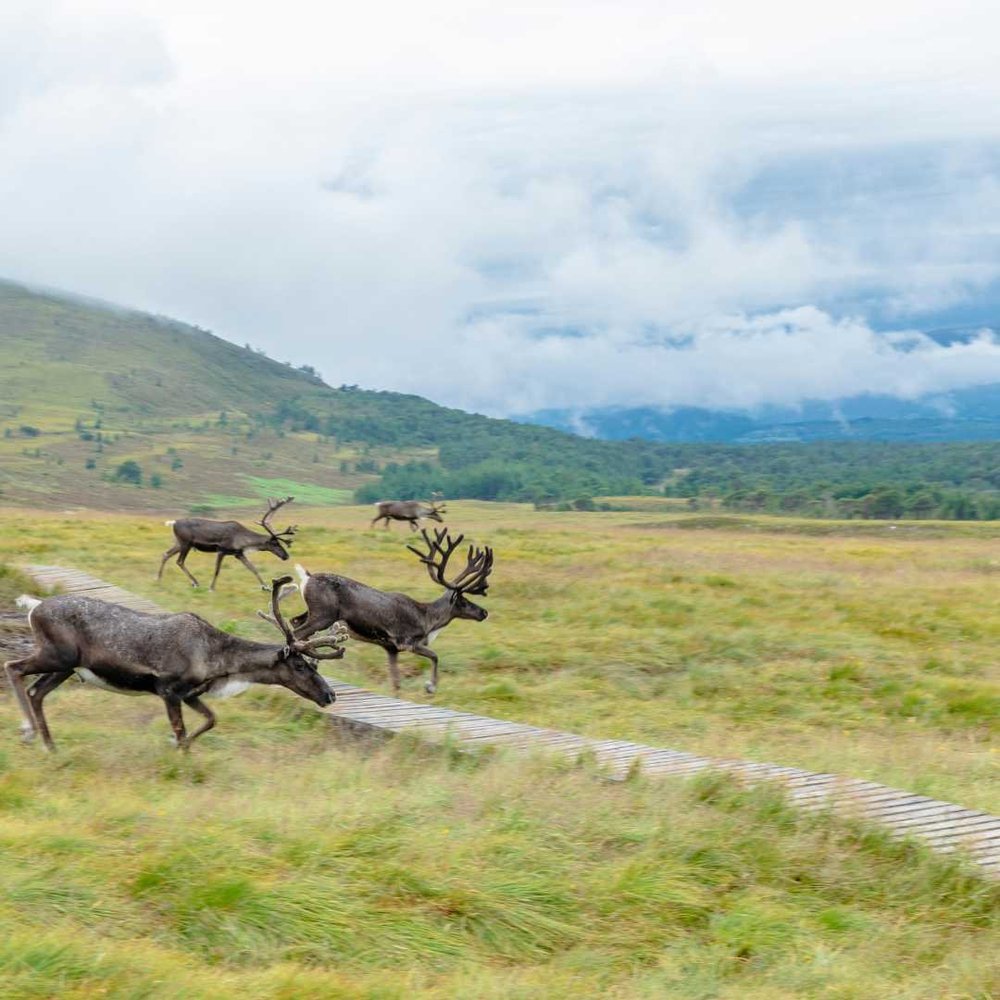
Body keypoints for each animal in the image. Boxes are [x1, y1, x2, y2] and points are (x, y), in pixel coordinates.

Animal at [5, 578, 346, 751]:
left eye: (315, 665)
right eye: (301, 667)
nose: (330, 695)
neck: (219, 662)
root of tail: (33, 607)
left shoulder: (191, 693)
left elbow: (211, 720)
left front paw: (177, 745)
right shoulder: (168, 689)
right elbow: (181, 731)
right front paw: (179, 753)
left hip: (66, 667)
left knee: (37, 692)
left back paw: (49, 744)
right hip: (57, 656)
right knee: (13, 667)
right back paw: (28, 732)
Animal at [157, 496, 298, 590]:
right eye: (275, 544)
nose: (286, 556)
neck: (242, 539)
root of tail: (174, 522)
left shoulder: (238, 554)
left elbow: (253, 568)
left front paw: (266, 587)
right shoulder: (221, 550)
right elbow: (217, 570)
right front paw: (211, 588)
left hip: (179, 543)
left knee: (165, 554)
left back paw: (158, 578)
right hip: (186, 543)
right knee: (179, 561)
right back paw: (195, 582)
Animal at [279, 527, 493, 695]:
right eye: (463, 601)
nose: (484, 612)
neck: (428, 620)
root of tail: (307, 577)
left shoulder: (390, 648)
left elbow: (396, 682)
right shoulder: (406, 641)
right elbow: (434, 656)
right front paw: (430, 687)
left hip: (314, 612)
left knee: (295, 623)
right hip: (324, 615)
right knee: (297, 633)